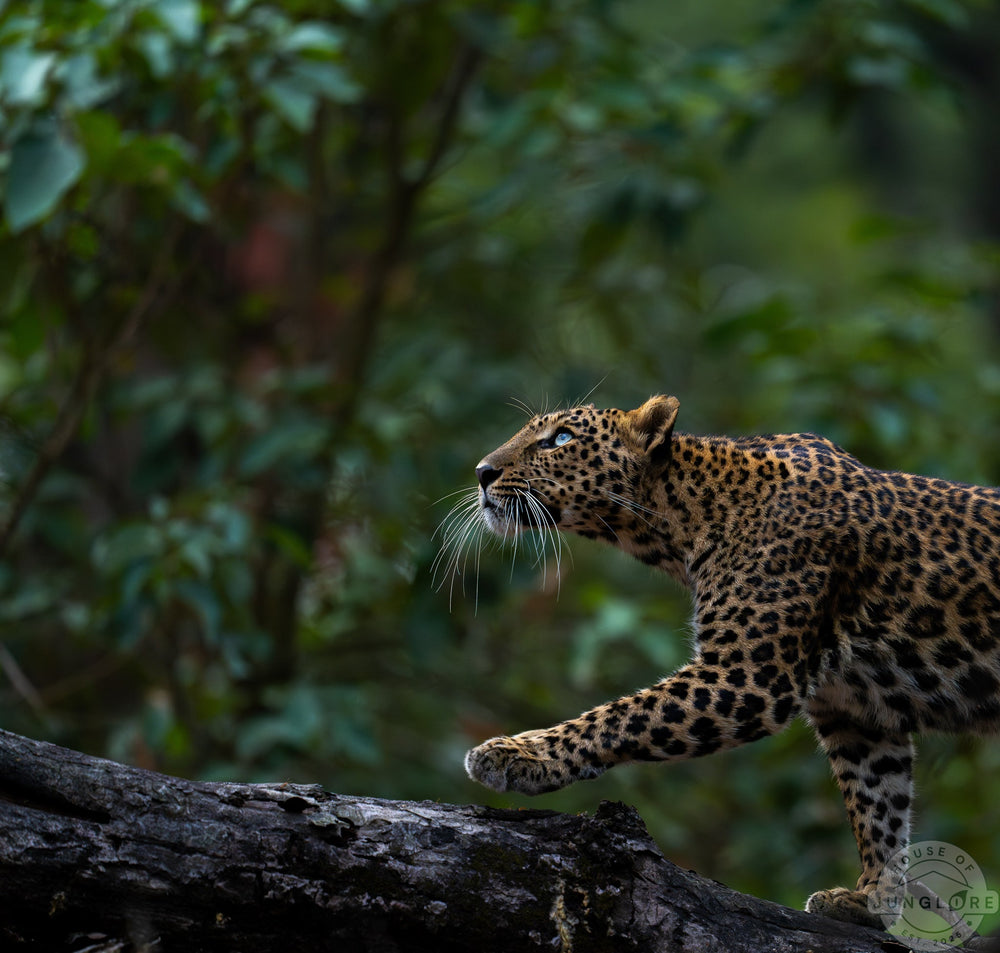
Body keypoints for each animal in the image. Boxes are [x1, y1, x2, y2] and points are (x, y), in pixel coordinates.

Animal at [454, 394, 1000, 931]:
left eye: (561, 439)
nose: (481, 471)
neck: (679, 521)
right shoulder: (855, 714)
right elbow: (879, 804)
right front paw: (873, 900)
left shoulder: (748, 677)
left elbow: (617, 716)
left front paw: (519, 755)